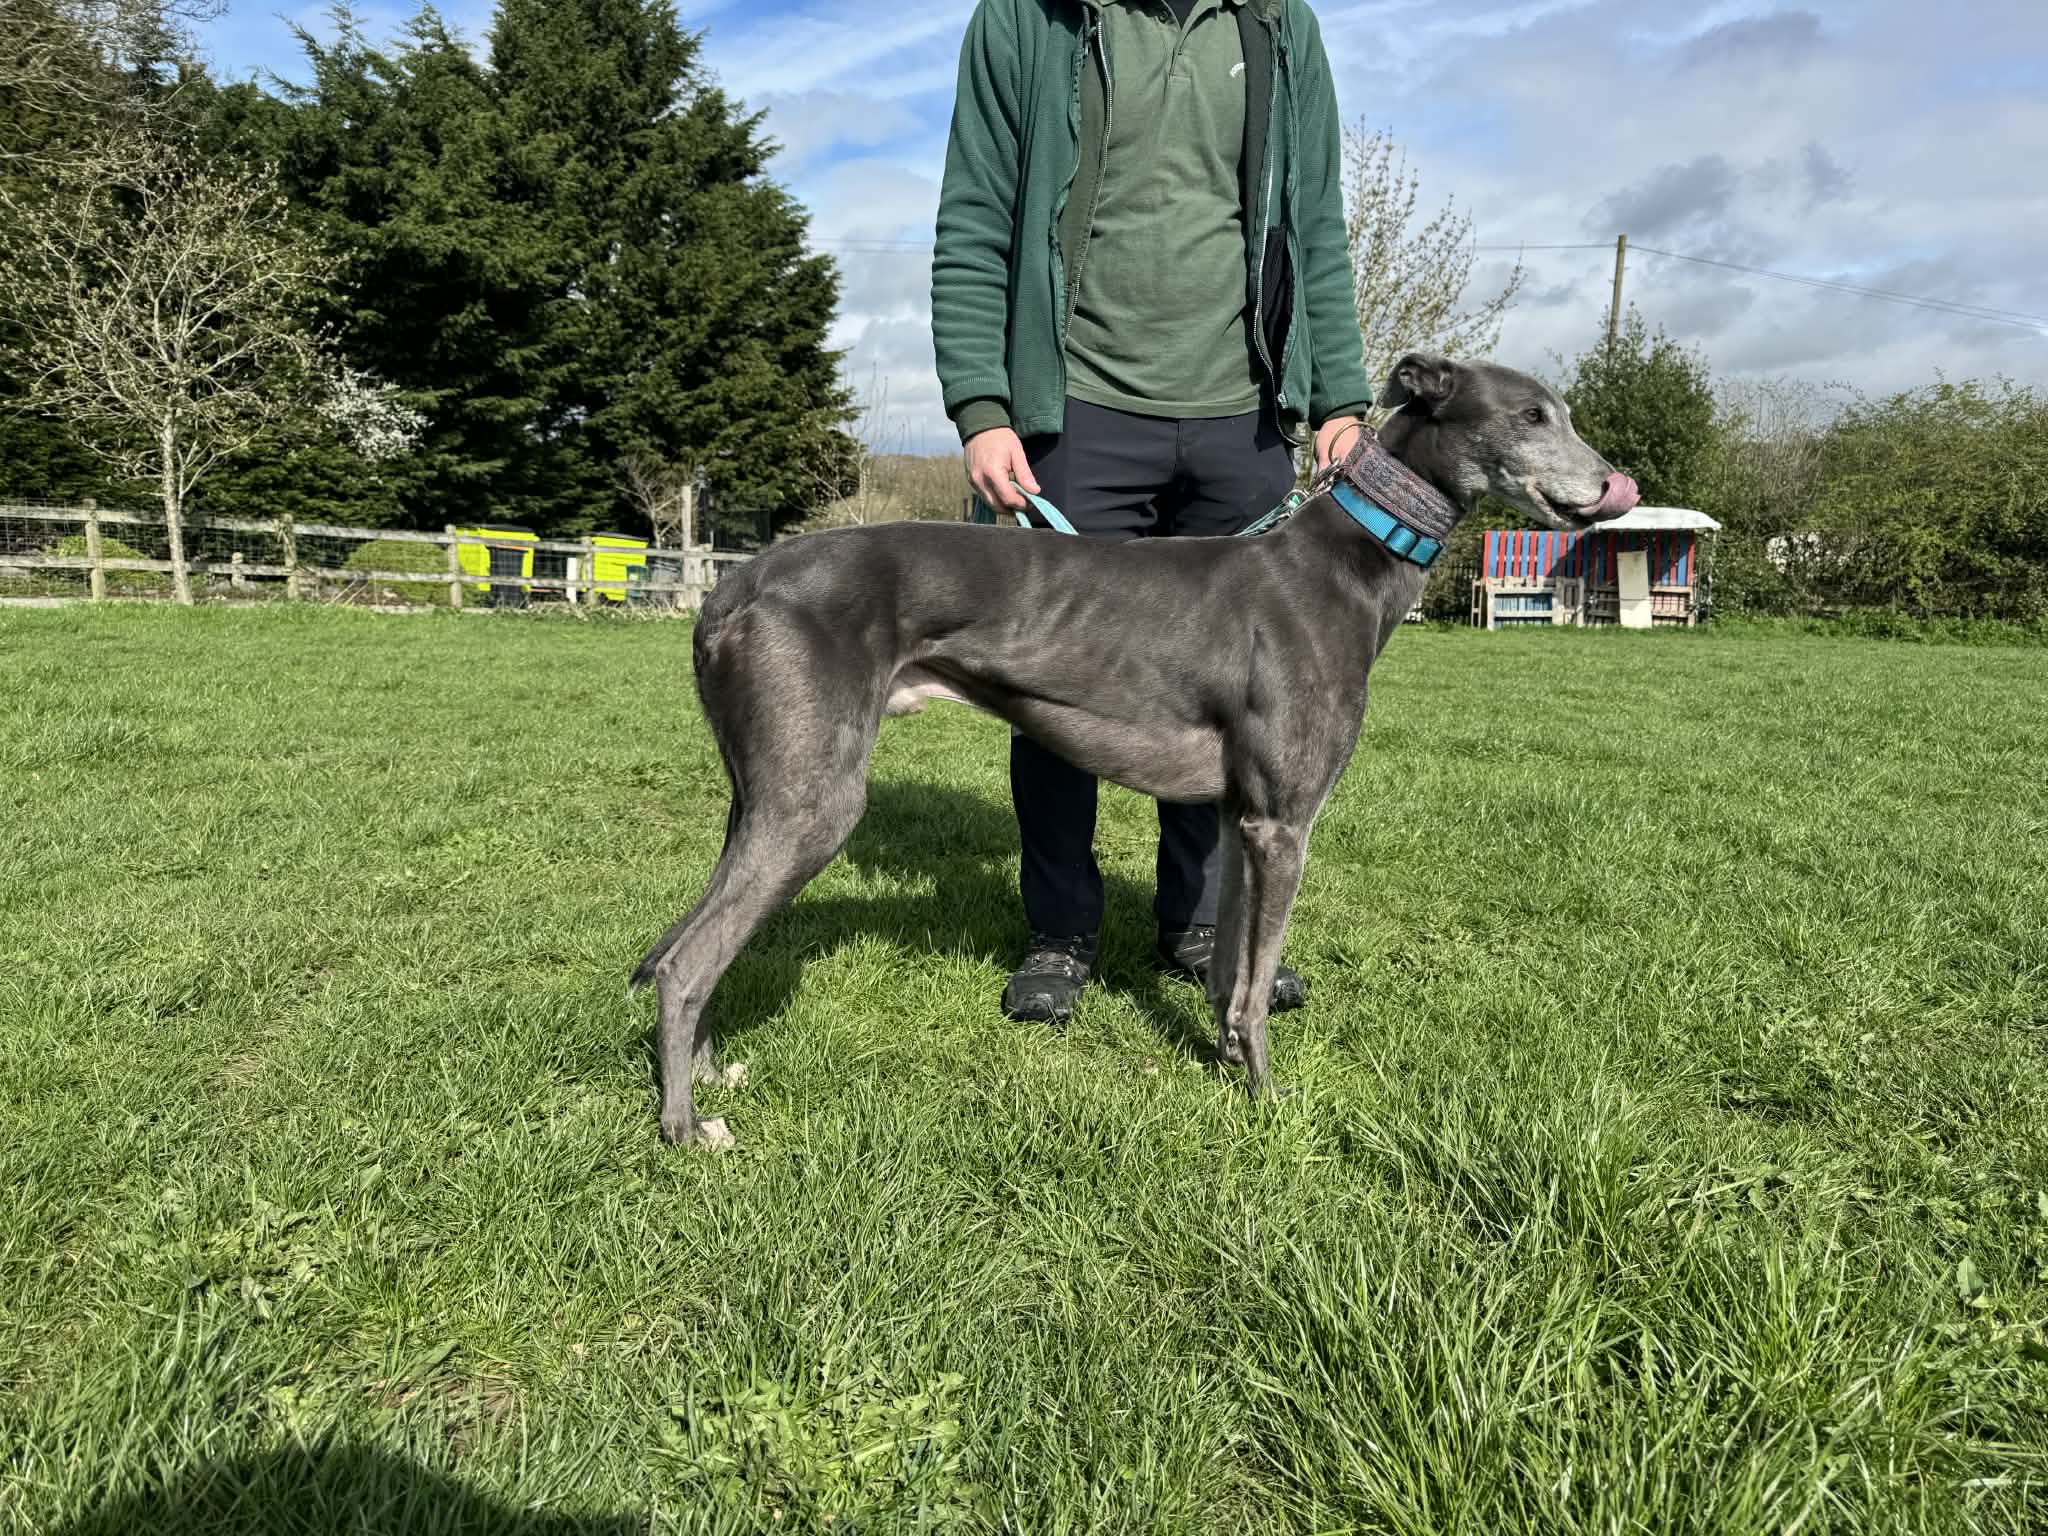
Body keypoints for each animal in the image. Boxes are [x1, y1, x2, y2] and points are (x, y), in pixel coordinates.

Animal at [630, 352, 1639, 1148]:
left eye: (1565, 414)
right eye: (1531, 415)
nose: (1614, 488)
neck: (1341, 563)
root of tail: (731, 589)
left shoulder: (1239, 820)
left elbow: (1231, 971)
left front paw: (1227, 1065)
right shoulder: (1285, 823)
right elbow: (1256, 983)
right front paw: (1269, 1099)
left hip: (762, 795)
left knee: (691, 942)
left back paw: (711, 1076)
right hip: (815, 803)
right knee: (683, 964)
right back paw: (685, 1126)